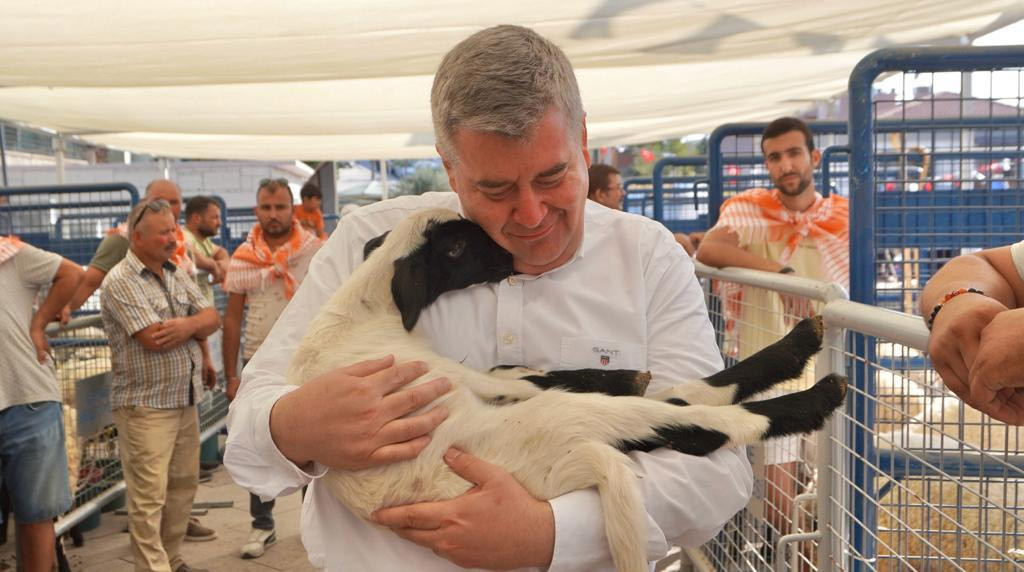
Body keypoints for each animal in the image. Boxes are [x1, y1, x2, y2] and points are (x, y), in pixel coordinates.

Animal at [288, 209, 847, 572]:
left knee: (685, 402)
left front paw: (623, 375)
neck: (362, 312)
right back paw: (817, 394)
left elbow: (527, 372)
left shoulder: (485, 379)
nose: (510, 254)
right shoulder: (457, 376)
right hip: (552, 425)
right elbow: (538, 376)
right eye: (455, 247)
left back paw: (799, 345)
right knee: (699, 424)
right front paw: (624, 376)